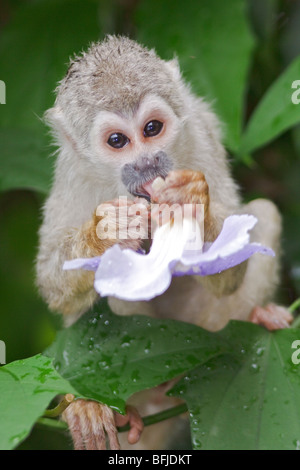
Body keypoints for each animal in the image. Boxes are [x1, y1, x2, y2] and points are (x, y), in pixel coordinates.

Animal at [36, 35, 292, 448]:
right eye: (118, 140)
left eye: (152, 128)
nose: (148, 162)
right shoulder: (72, 171)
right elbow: (53, 285)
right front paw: (106, 231)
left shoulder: (199, 131)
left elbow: (232, 260)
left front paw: (191, 201)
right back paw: (94, 405)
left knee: (264, 214)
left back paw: (259, 319)